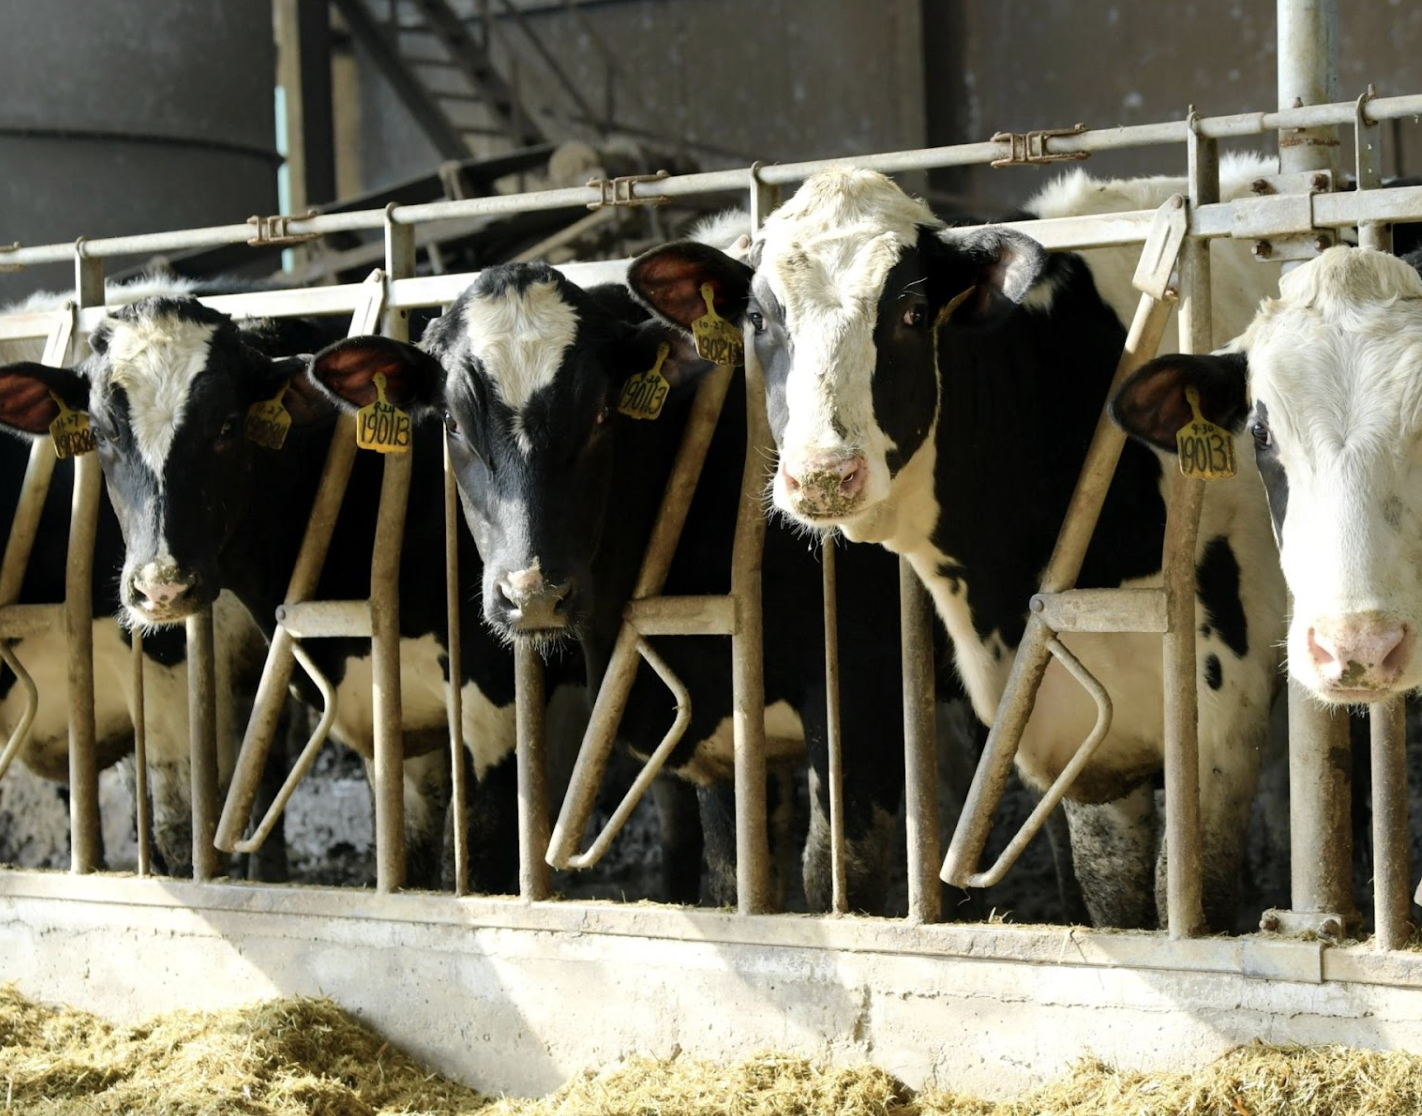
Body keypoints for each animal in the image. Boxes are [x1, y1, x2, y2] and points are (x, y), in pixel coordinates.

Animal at [303, 258, 932, 914]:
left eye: (604, 413)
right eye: (451, 423)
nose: (532, 594)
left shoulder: (860, 692)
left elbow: (840, 877)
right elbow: (739, 877)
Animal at [626, 160, 1287, 930]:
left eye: (913, 315)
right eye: (760, 319)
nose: (821, 476)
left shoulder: (1223, 713)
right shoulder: (1082, 732)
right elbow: (1113, 897)